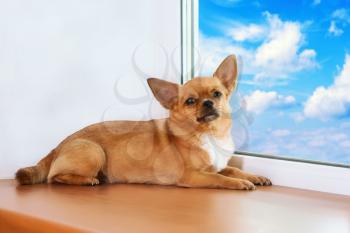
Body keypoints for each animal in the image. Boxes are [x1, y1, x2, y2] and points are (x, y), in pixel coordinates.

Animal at [15, 55, 270, 190]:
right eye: (190, 101)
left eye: (217, 94)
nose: (208, 103)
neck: (208, 133)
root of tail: (57, 147)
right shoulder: (194, 176)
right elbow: (220, 177)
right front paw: (239, 183)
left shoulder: (217, 164)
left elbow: (233, 168)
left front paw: (254, 176)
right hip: (94, 151)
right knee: (54, 178)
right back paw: (89, 180)